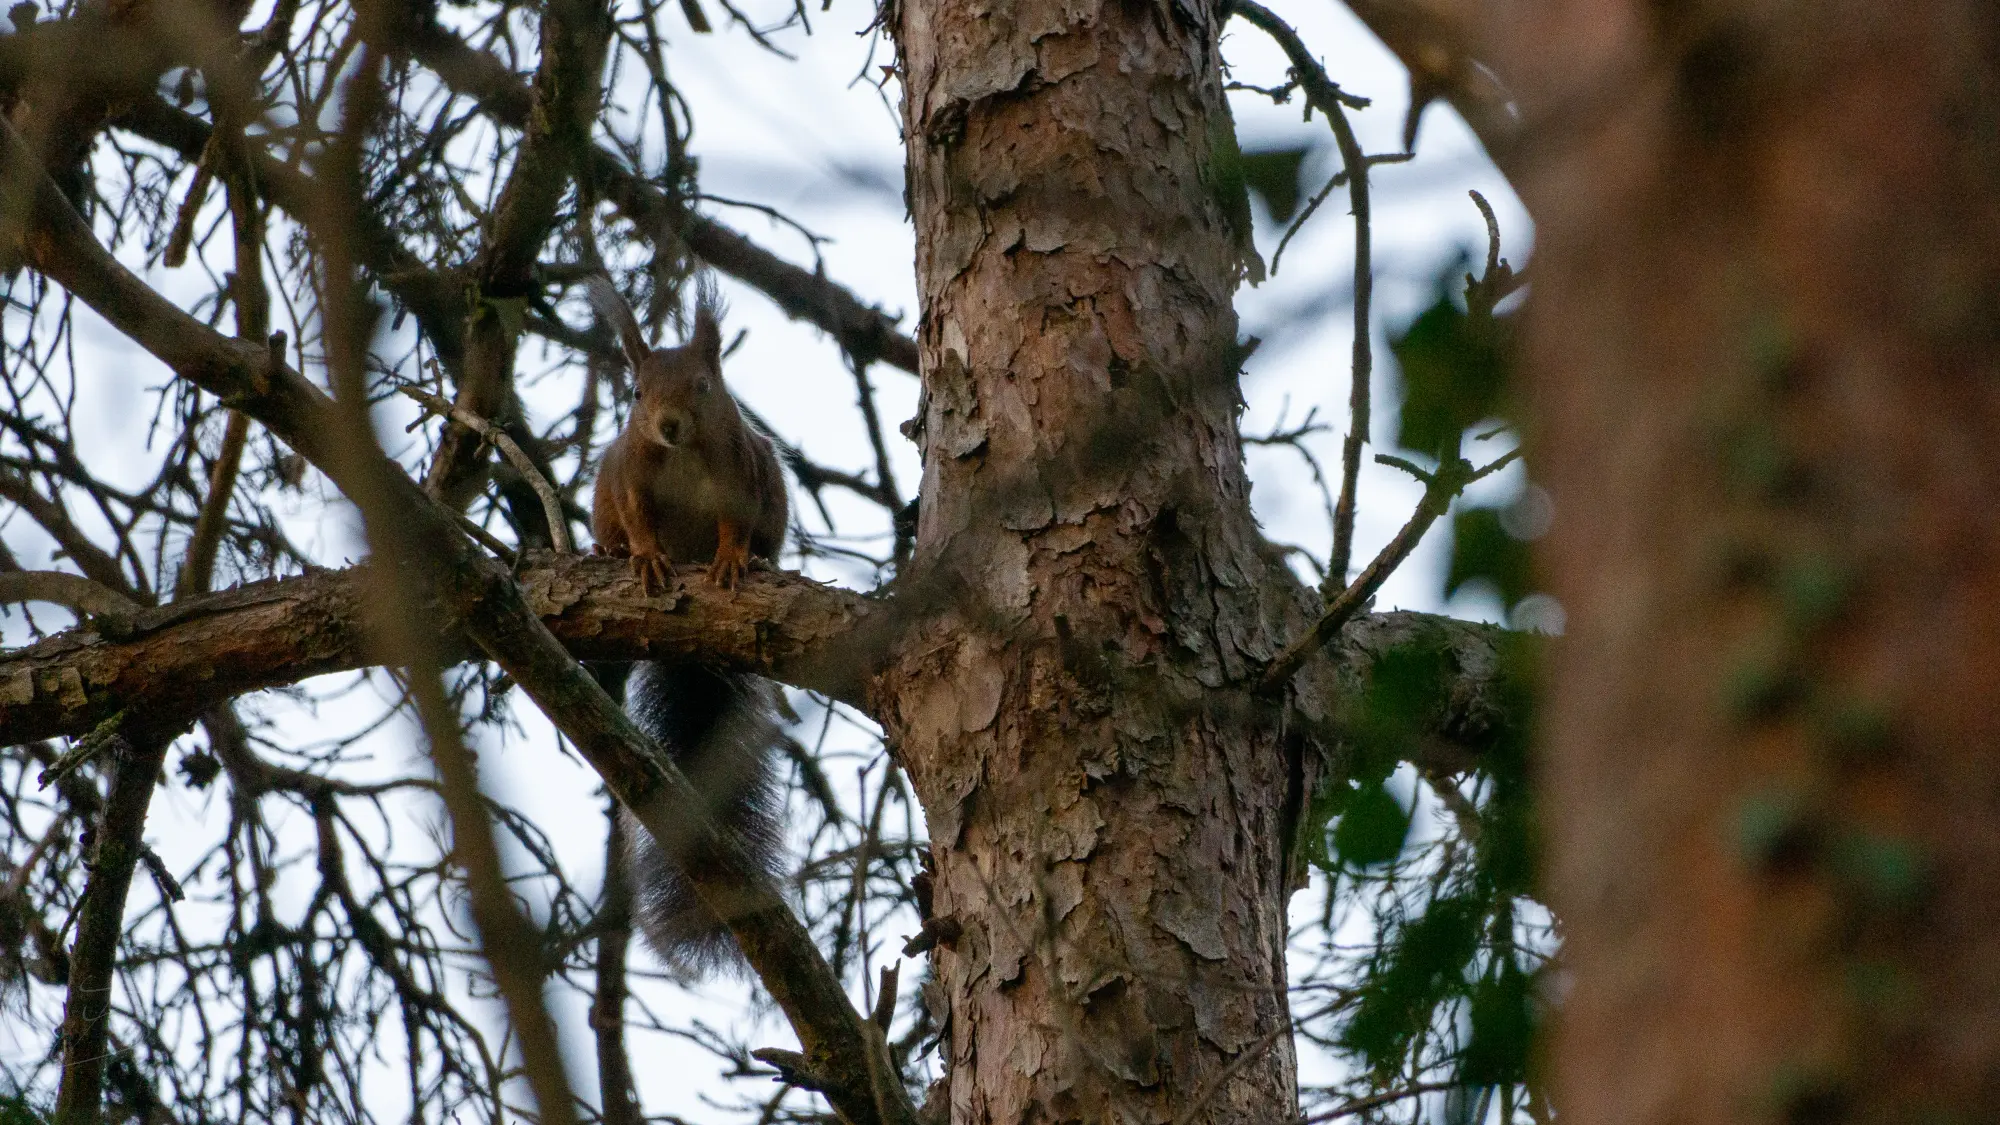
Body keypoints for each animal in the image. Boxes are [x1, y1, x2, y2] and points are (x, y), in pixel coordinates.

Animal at [585, 274, 790, 973]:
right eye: (636, 393)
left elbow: (735, 524)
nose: (669, 426)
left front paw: (732, 558)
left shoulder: (743, 474)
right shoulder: (629, 474)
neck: (682, 454)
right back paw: (609, 551)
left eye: (704, 386)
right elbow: (638, 516)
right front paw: (645, 555)